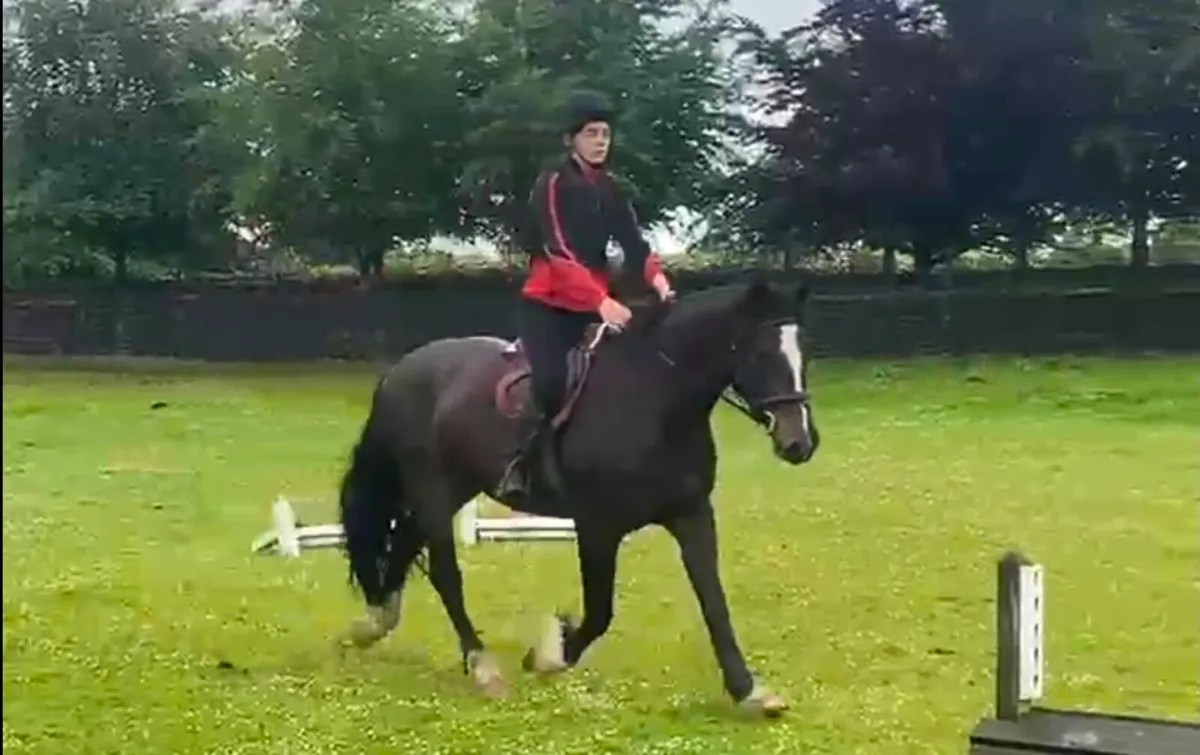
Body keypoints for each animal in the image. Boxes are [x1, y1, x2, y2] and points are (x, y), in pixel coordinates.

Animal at [335, 277, 820, 716]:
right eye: (760, 353)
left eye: (803, 351)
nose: (799, 443)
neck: (655, 395)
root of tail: (400, 371)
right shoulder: (597, 526)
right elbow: (600, 611)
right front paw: (550, 654)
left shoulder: (692, 514)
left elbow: (714, 601)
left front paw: (749, 691)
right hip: (434, 490)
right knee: (444, 573)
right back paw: (482, 666)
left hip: (455, 488)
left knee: (404, 543)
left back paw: (373, 624)